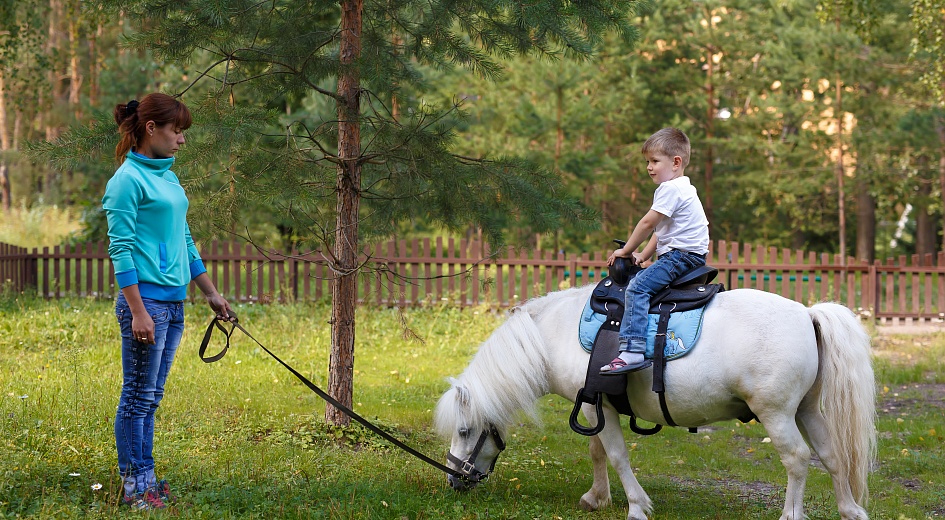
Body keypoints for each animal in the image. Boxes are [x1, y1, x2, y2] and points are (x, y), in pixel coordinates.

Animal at [434, 284, 876, 520]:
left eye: (464, 430)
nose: (454, 479)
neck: (552, 333)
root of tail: (807, 313)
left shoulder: (595, 407)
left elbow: (616, 455)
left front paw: (636, 506)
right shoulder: (597, 408)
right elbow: (598, 452)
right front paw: (597, 498)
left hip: (778, 414)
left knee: (798, 459)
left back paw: (791, 514)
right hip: (806, 410)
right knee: (832, 455)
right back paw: (850, 509)